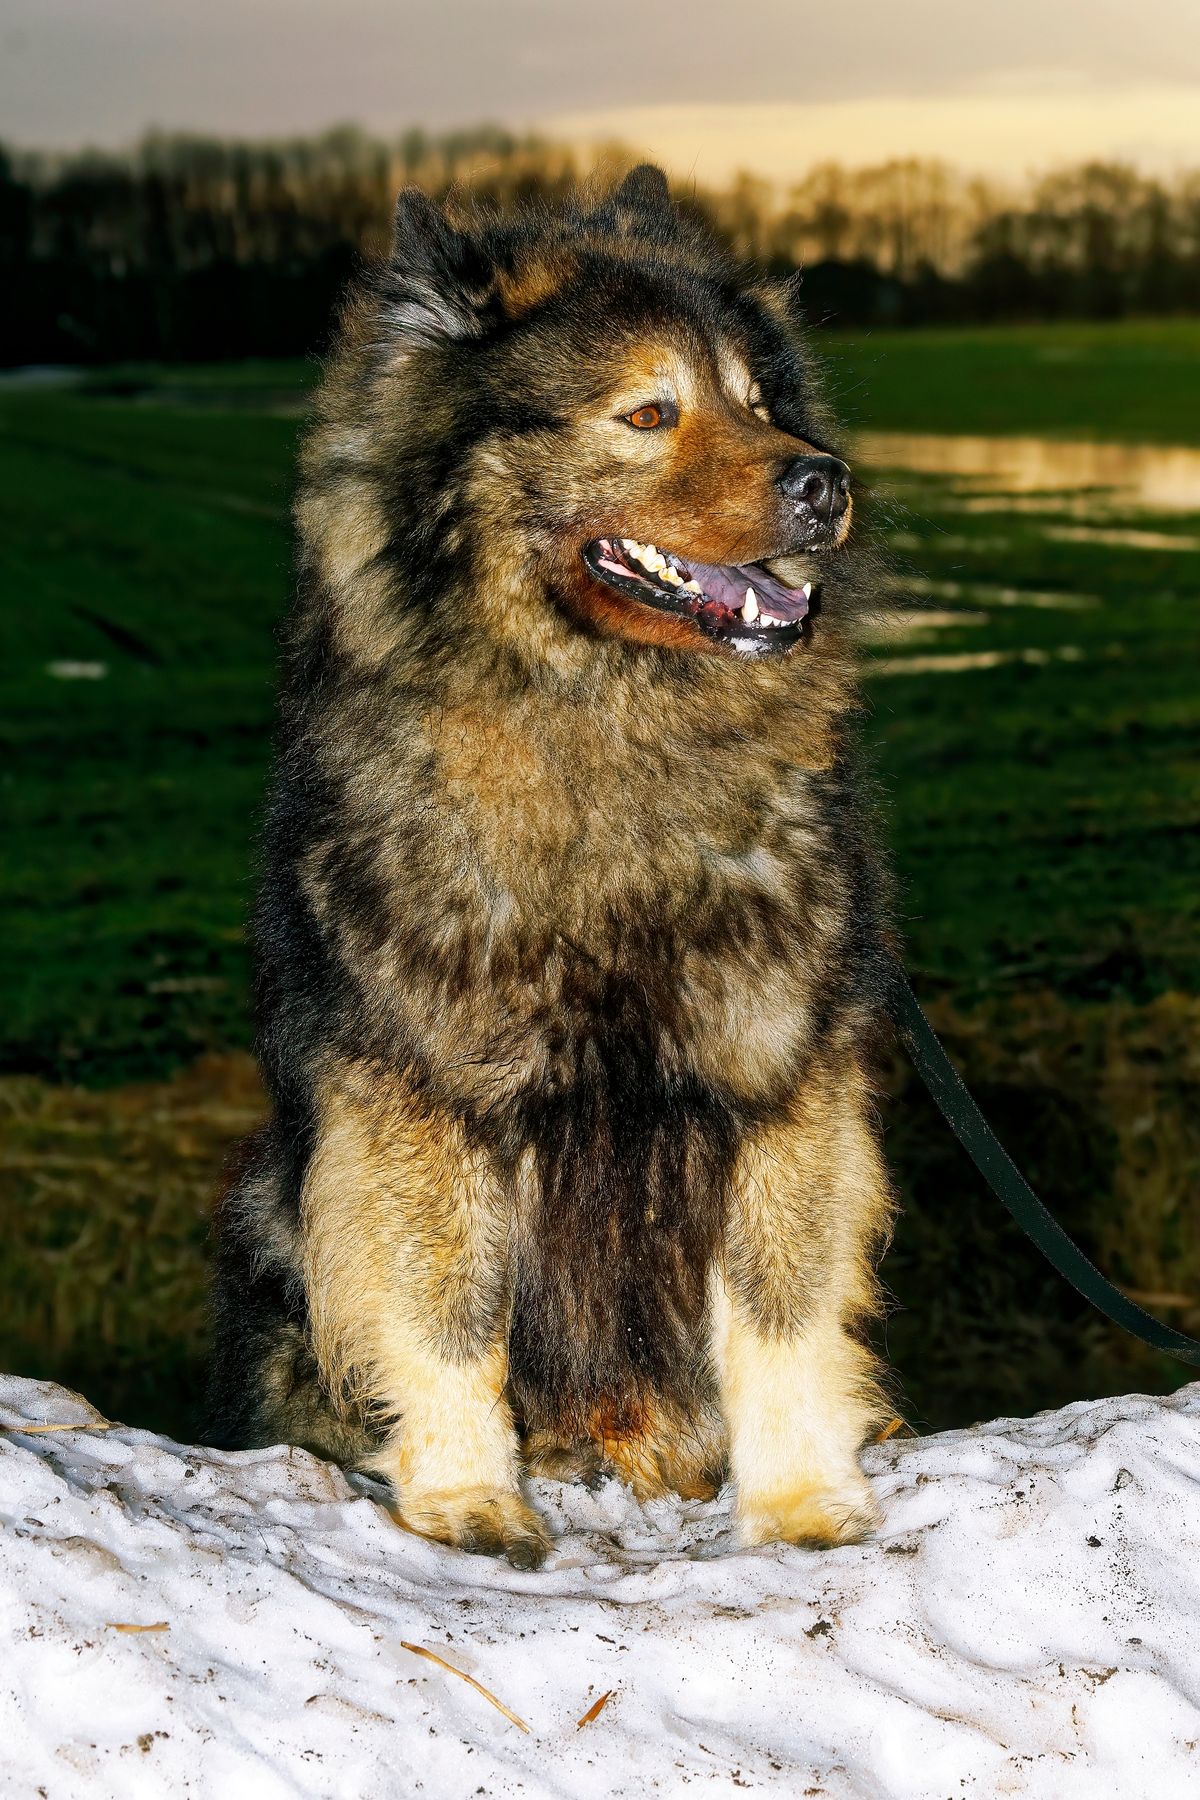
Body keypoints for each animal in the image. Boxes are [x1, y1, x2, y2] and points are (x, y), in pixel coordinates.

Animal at [211, 171, 895, 1576]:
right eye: (647, 413)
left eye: (761, 400)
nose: (827, 483)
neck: (604, 725)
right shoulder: (424, 1086)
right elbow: (445, 1311)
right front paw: (469, 1500)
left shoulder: (777, 1070)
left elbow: (783, 1309)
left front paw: (802, 1501)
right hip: (268, 1202)